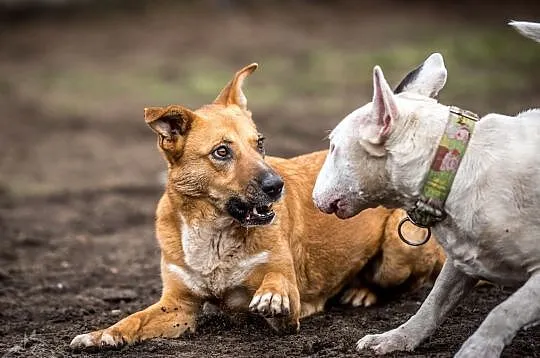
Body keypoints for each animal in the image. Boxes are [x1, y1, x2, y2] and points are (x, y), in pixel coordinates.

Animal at [69, 63, 446, 348]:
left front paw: (272, 295)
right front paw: (103, 334)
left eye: (260, 143)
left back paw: (363, 291)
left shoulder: (289, 302)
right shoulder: (177, 307)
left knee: (411, 281)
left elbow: (276, 283)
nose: (276, 187)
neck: (214, 232)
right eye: (222, 151)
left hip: (400, 247)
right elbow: (133, 319)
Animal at [312, 21, 540, 358]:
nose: (313, 195)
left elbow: (503, 312)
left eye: (333, 147)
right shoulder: (461, 261)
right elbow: (433, 303)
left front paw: (476, 350)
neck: (452, 166)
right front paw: (394, 339)